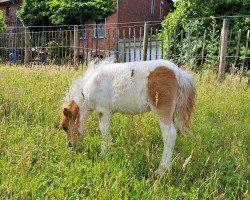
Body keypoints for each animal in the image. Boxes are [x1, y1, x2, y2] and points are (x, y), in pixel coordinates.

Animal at [60, 59, 195, 175]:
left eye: (65, 127)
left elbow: (104, 130)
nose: (70, 146)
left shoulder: (103, 110)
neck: (89, 87)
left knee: (169, 135)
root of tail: (179, 73)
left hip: (162, 110)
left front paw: (103, 154)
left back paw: (161, 171)